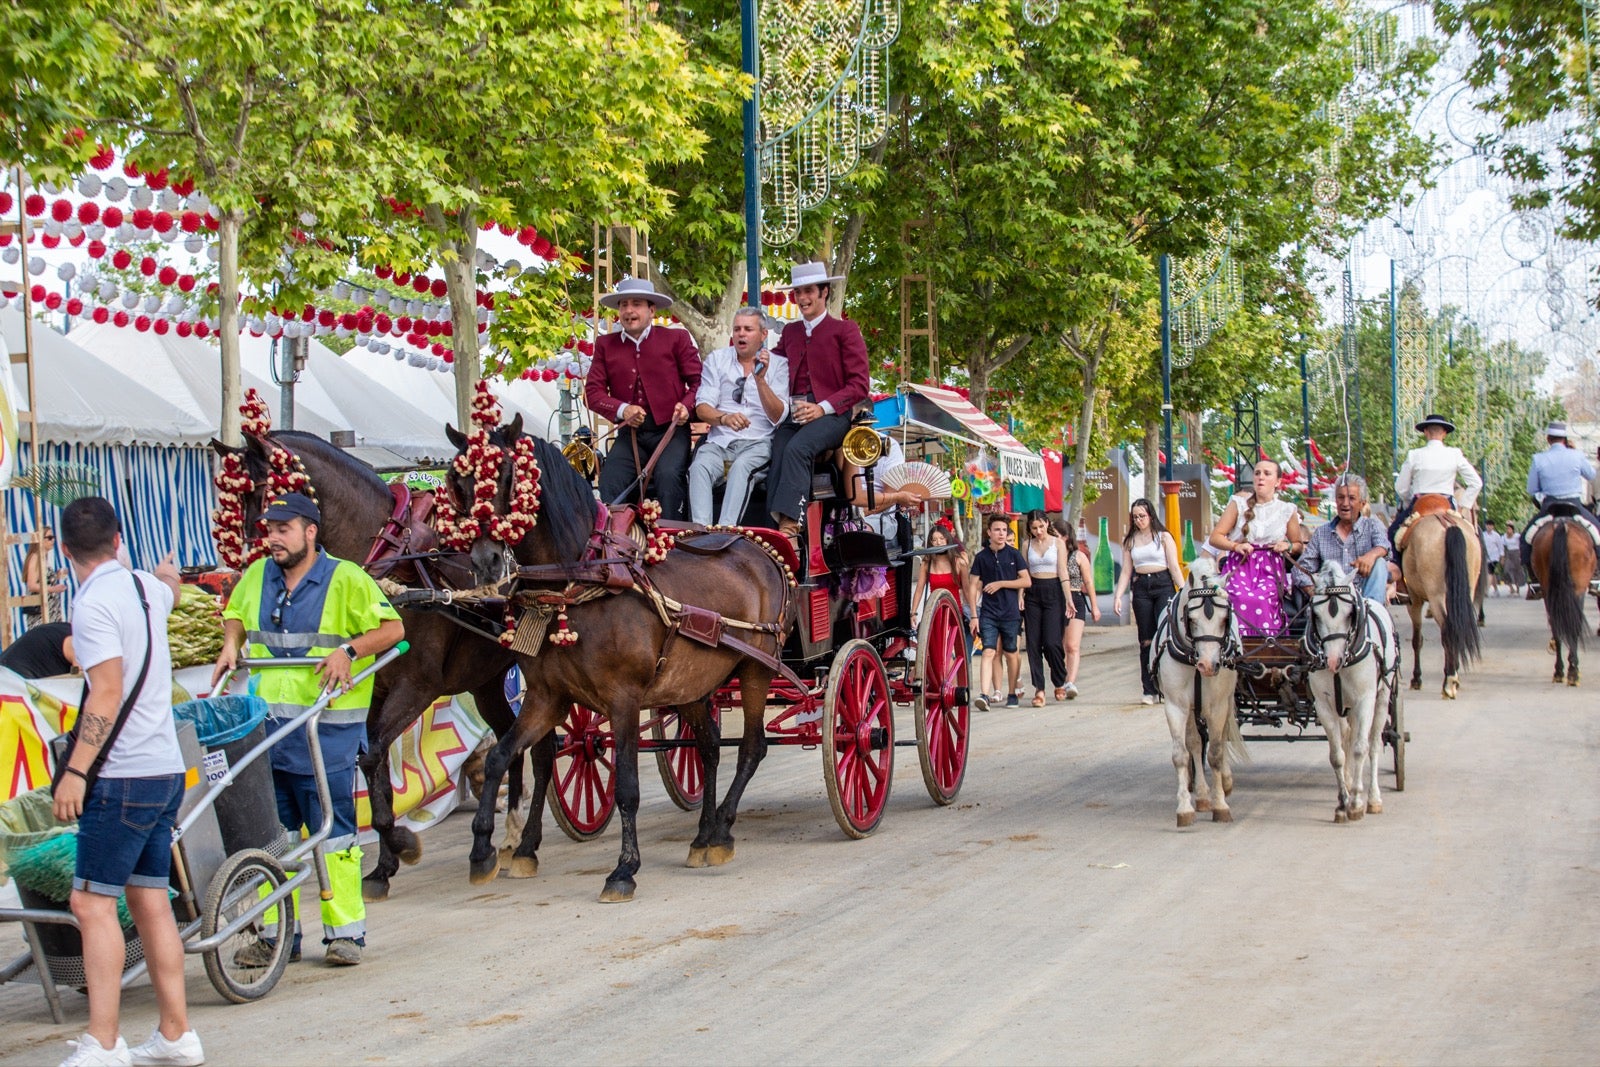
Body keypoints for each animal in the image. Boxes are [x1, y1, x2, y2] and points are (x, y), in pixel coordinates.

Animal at [212, 435, 553, 902]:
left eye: (266, 495)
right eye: (231, 499)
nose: (241, 576)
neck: (387, 563)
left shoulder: (417, 686)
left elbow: (373, 753)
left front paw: (402, 844)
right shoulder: (371, 688)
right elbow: (368, 761)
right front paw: (384, 862)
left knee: (543, 748)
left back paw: (521, 841)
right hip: (485, 682)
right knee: (509, 741)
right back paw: (510, 835)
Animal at [444, 415, 793, 902]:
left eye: (510, 475)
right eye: (458, 482)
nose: (486, 561)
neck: (580, 579)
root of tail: (763, 550)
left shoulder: (623, 698)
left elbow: (627, 785)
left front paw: (624, 869)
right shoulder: (545, 697)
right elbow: (501, 756)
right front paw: (486, 851)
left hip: (757, 667)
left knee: (751, 747)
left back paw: (722, 830)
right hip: (692, 682)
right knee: (708, 748)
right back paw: (703, 836)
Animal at [1152, 556, 1248, 831]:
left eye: (1225, 619)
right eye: (1191, 619)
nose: (1208, 665)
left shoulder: (1217, 705)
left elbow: (1215, 752)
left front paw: (1221, 805)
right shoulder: (1176, 705)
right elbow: (1181, 755)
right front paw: (1185, 808)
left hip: (1225, 701)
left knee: (1221, 737)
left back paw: (1223, 783)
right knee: (1194, 742)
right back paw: (1203, 795)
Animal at [1299, 563, 1401, 825]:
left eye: (1350, 613)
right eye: (1316, 615)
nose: (1333, 660)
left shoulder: (1365, 700)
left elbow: (1360, 749)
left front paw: (1356, 802)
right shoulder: (1324, 705)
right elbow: (1337, 755)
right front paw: (1342, 803)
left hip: (1382, 696)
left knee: (1373, 744)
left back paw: (1373, 798)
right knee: (1346, 738)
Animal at [1529, 515, 1593, 684]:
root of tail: (1561, 524)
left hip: (1548, 589)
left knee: (1556, 626)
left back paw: (1559, 671)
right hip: (1578, 587)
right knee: (1574, 625)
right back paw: (1573, 671)